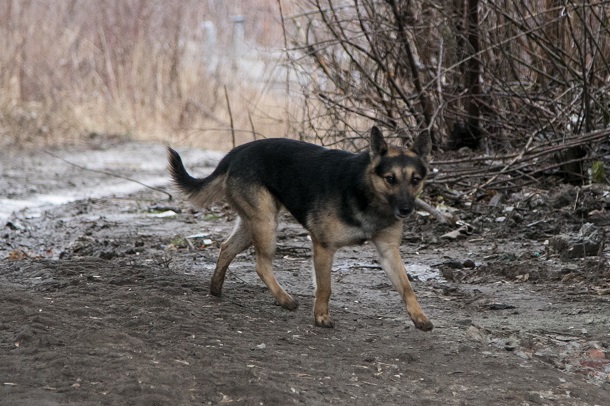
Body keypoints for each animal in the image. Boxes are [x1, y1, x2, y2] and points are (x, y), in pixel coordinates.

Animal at [166, 126, 432, 330]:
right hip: (266, 224)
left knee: (226, 248)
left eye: (415, 180)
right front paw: (321, 317)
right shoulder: (323, 247)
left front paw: (419, 317)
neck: (365, 192)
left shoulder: (388, 252)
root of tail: (235, 152)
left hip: (254, 224)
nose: (406, 210)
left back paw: (216, 289)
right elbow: (325, 287)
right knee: (261, 265)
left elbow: (407, 287)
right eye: (390, 179)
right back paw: (284, 300)